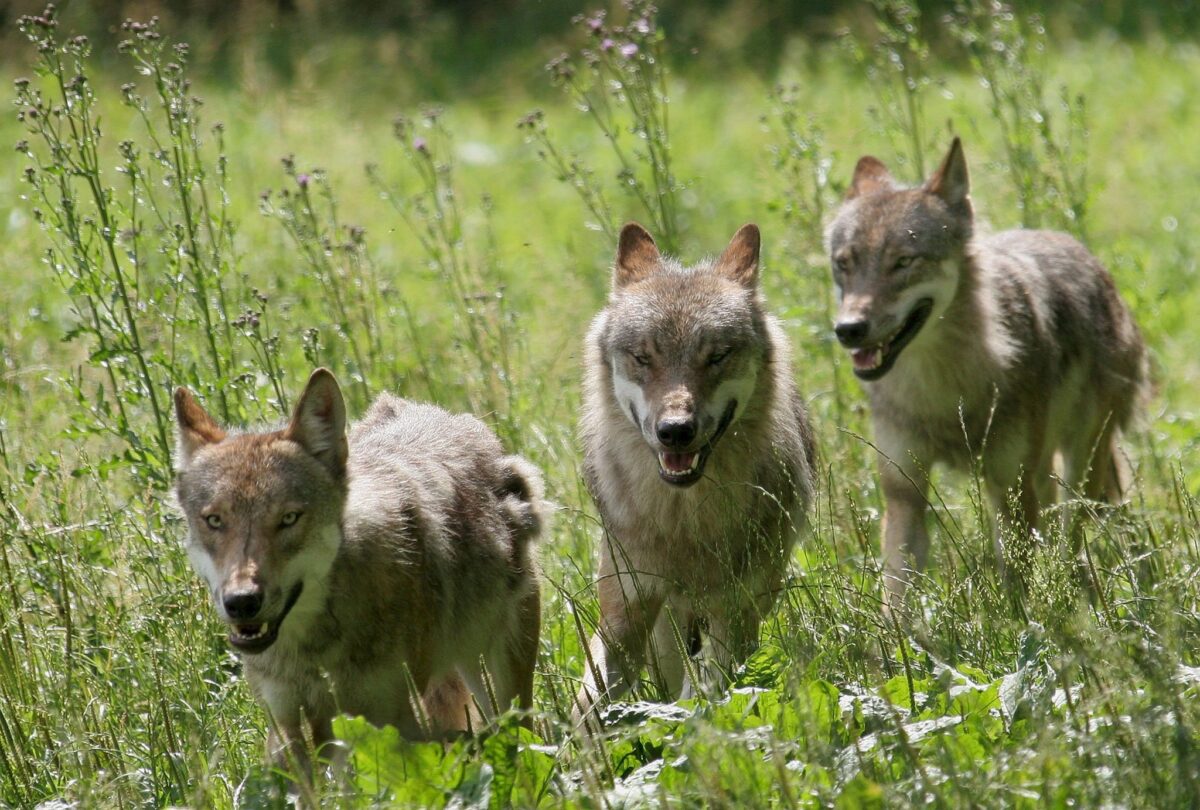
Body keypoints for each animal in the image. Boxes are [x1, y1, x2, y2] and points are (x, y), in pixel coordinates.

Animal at [571, 222, 816, 724]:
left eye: (717, 356)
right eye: (643, 357)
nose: (675, 431)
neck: (684, 521)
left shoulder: (734, 612)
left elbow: (700, 695)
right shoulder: (623, 612)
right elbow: (587, 707)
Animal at [830, 138, 1147, 614]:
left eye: (903, 262)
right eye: (844, 264)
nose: (848, 329)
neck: (944, 390)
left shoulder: (1008, 489)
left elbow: (1016, 587)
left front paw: (1023, 628)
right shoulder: (904, 492)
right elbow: (897, 596)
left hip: (1078, 470)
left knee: (1070, 540)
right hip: (1043, 473)